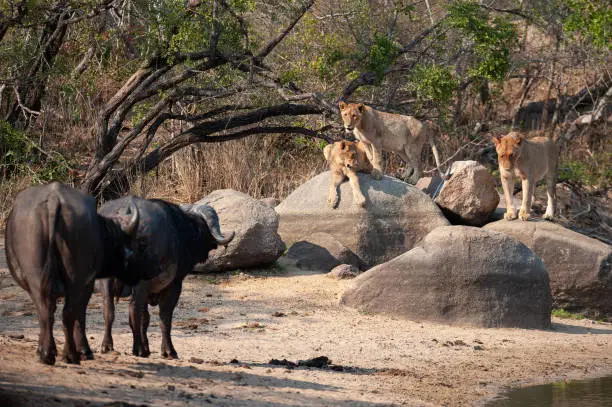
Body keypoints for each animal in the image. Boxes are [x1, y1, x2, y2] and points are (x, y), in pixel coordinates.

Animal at [3, 183, 145, 364]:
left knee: (45, 311)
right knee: (68, 313)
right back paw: (70, 354)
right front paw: (84, 350)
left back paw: (47, 354)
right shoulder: (88, 283)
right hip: (75, 280)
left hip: (37, 276)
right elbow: (81, 314)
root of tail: (54, 200)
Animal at [98, 198, 234, 360]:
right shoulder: (174, 285)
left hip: (107, 279)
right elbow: (165, 319)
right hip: (141, 280)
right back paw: (138, 349)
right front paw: (168, 350)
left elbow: (146, 318)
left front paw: (148, 347)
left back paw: (107, 346)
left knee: (108, 310)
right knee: (133, 309)